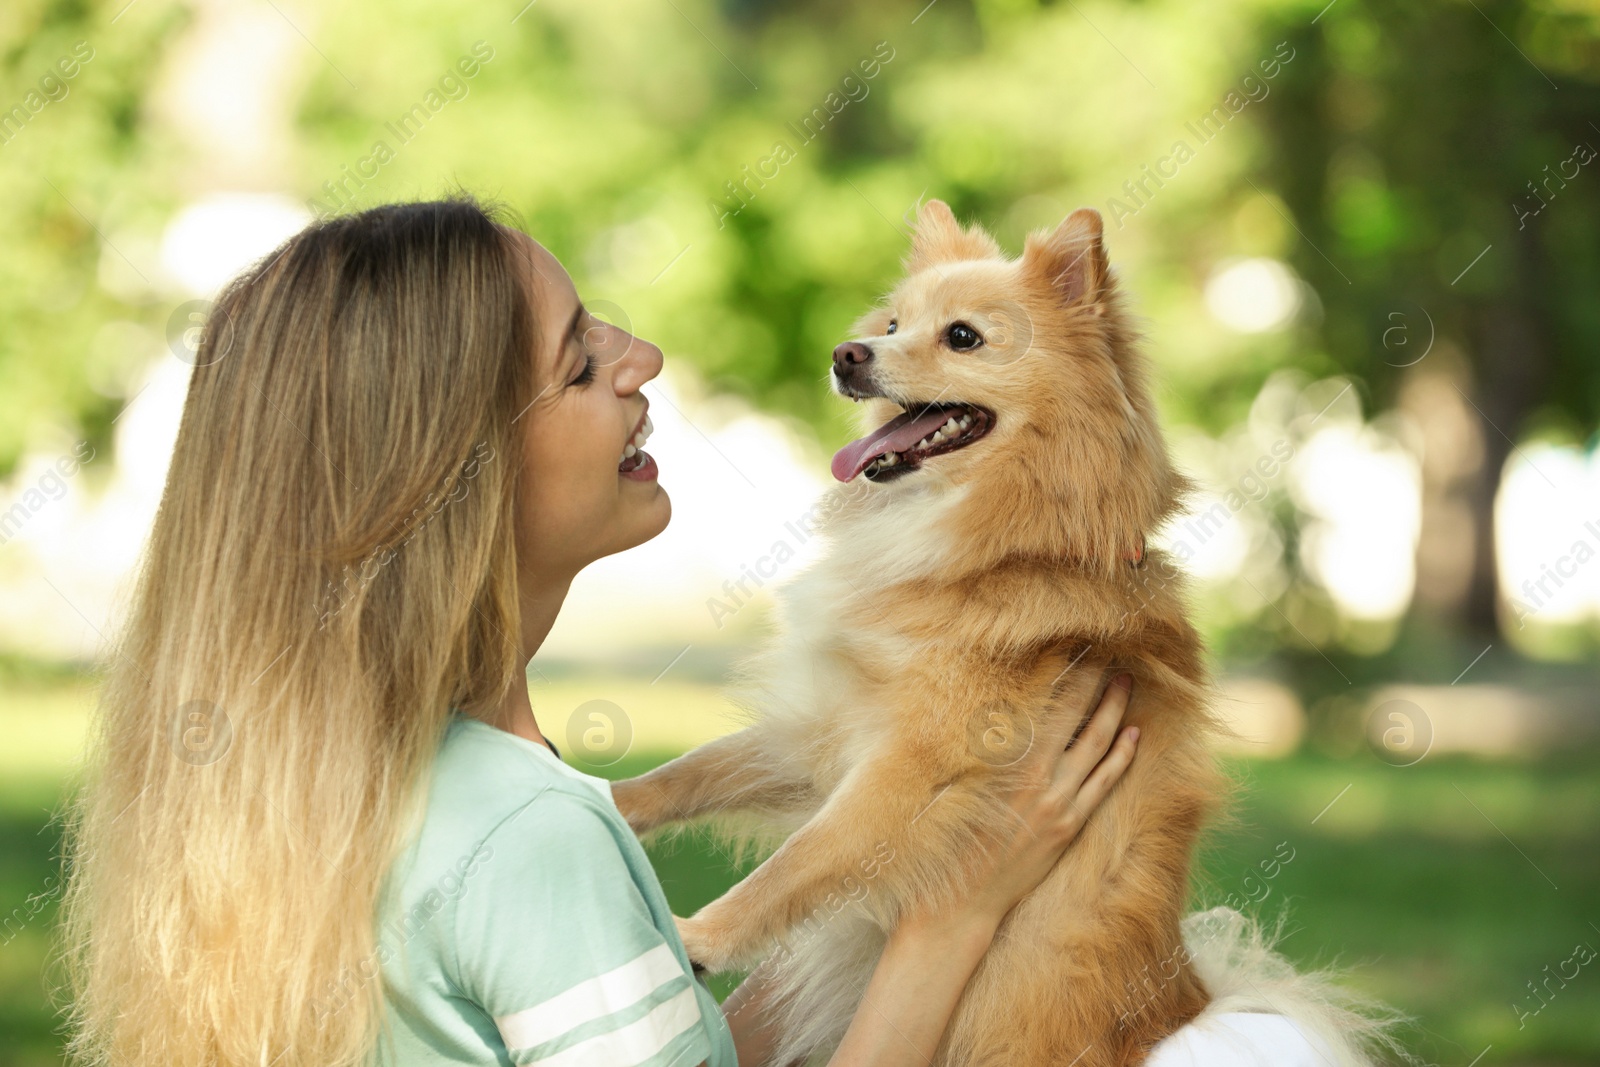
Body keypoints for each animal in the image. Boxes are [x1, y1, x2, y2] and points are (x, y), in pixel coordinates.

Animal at [611, 199, 1401, 1067]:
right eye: (892, 324)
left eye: (962, 337)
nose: (848, 354)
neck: (995, 550)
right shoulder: (826, 731)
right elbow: (695, 770)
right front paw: (607, 796)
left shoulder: (914, 765)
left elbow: (797, 864)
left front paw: (700, 936)